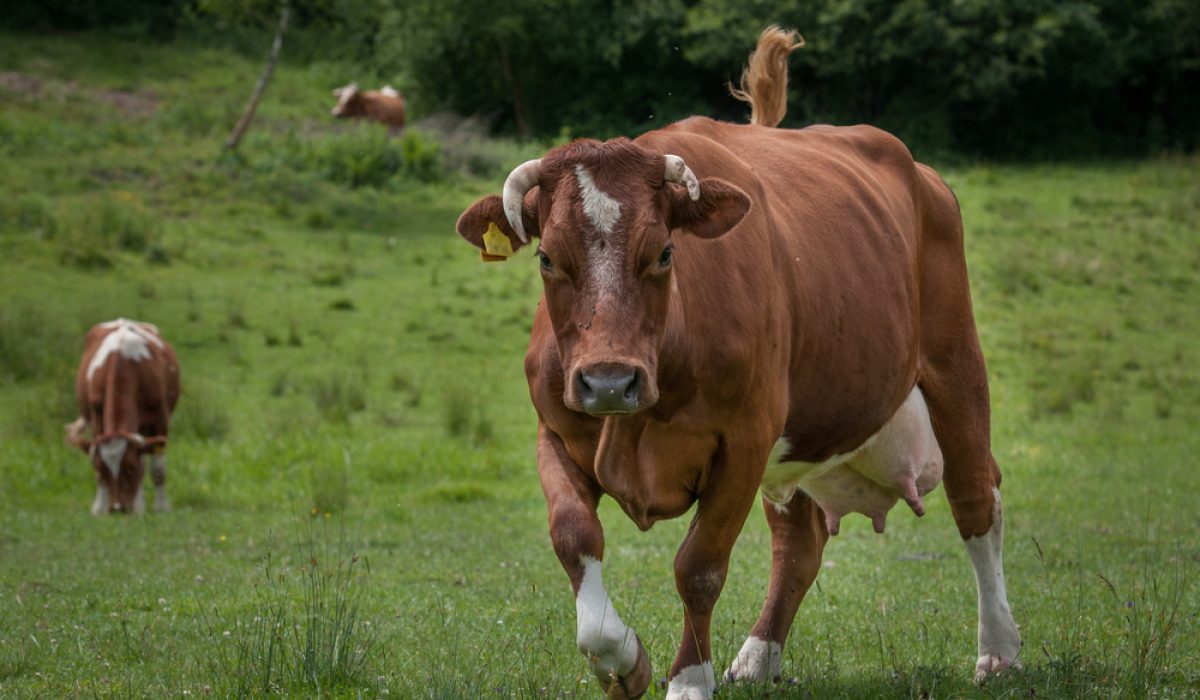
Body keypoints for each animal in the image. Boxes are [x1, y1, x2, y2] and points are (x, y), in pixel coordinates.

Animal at [65, 318, 180, 515]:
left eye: (130, 467)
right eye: (102, 469)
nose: (118, 508)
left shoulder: (160, 421)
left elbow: (157, 470)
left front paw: (160, 507)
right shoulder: (97, 420)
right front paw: (100, 507)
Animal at [453, 26, 1021, 700]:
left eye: (664, 252)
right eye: (546, 258)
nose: (611, 382)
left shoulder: (746, 438)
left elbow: (700, 566)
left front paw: (687, 680)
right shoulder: (556, 429)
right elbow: (573, 536)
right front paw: (622, 660)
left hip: (954, 362)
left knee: (976, 500)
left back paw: (998, 651)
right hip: (802, 434)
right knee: (799, 545)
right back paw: (757, 658)